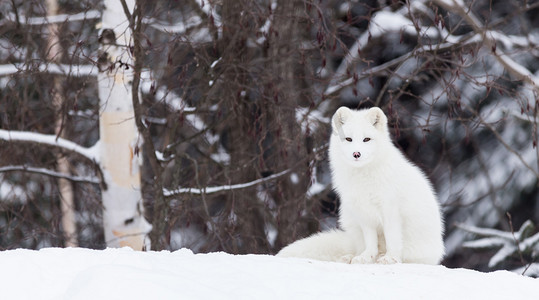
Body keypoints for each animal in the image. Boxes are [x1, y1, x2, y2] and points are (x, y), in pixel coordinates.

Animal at [280, 106, 446, 264]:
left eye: (366, 139)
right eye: (348, 139)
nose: (356, 154)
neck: (364, 179)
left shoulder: (390, 210)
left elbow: (392, 238)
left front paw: (390, 258)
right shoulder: (363, 212)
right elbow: (370, 242)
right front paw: (367, 257)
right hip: (349, 217)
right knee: (359, 248)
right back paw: (352, 257)